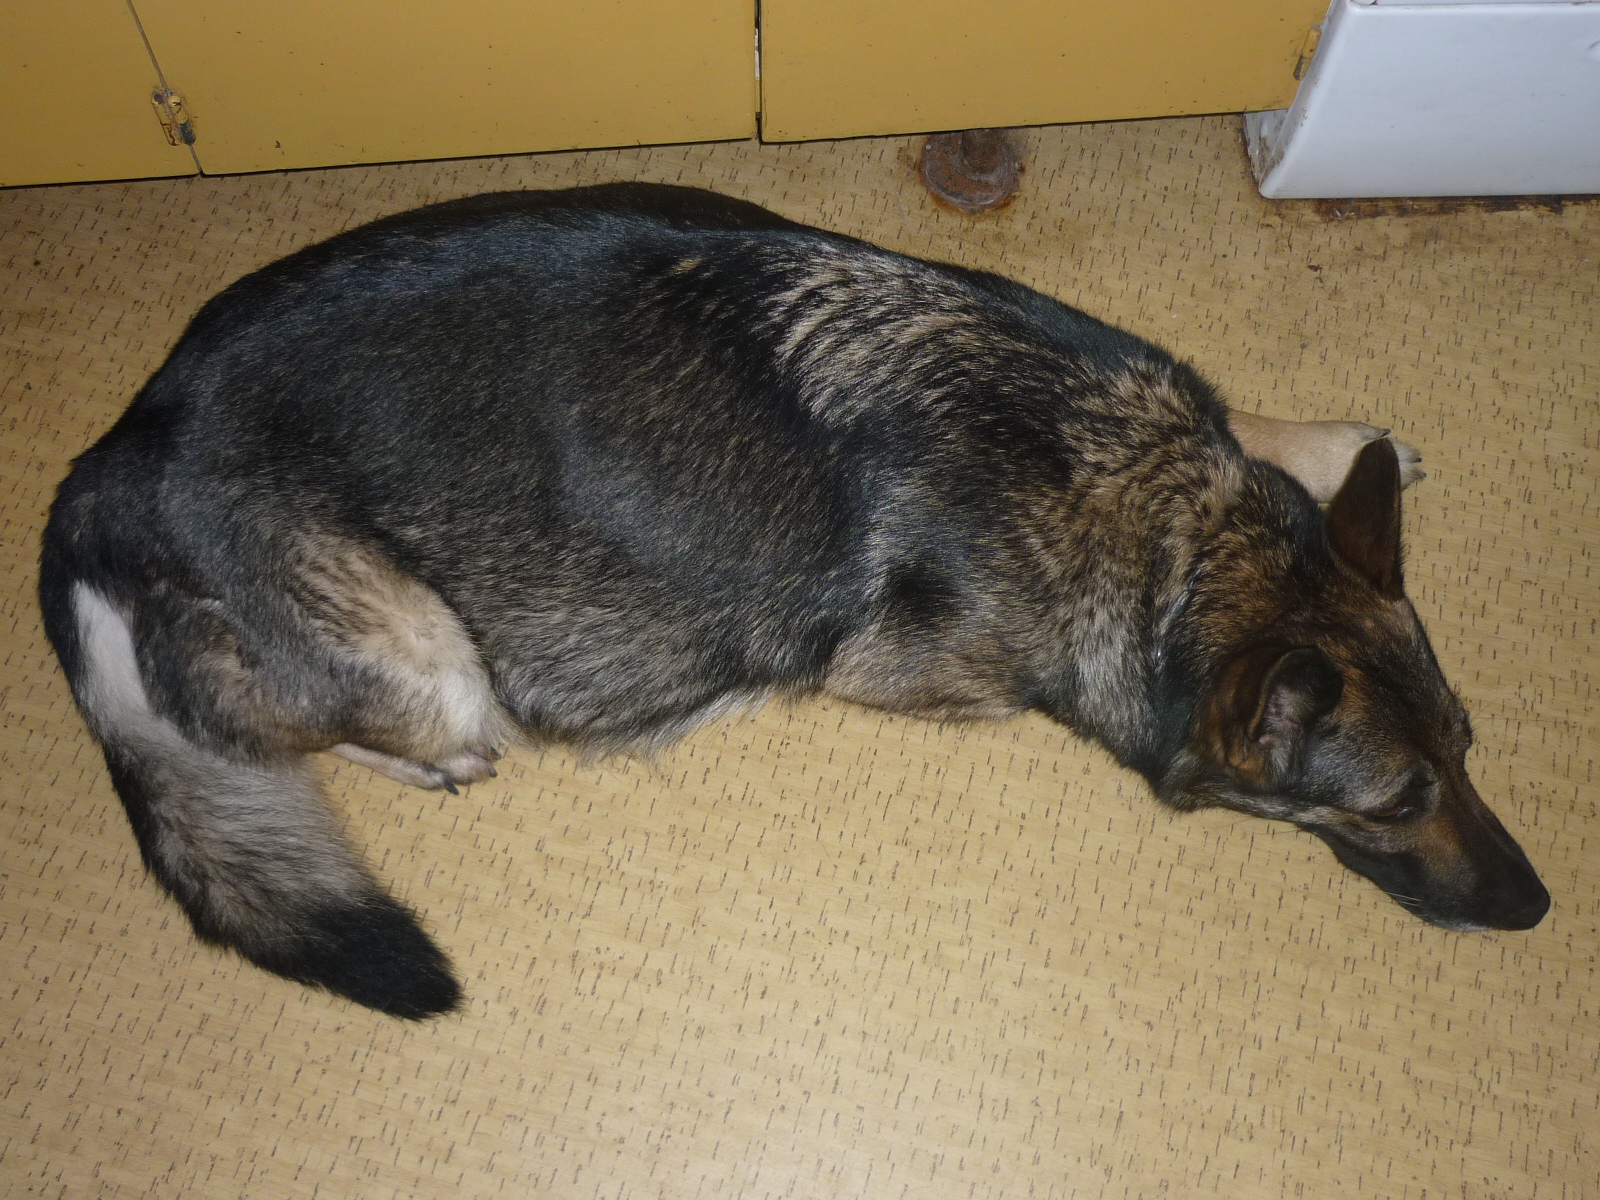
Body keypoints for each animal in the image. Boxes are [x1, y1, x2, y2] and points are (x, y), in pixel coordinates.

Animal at [39, 183, 1550, 1019]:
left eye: (1470, 755)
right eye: (1396, 805)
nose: (1539, 909)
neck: (1158, 516)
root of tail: (107, 460)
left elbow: (1272, 427)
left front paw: (1344, 438)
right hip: (423, 656)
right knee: (274, 727)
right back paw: (435, 760)